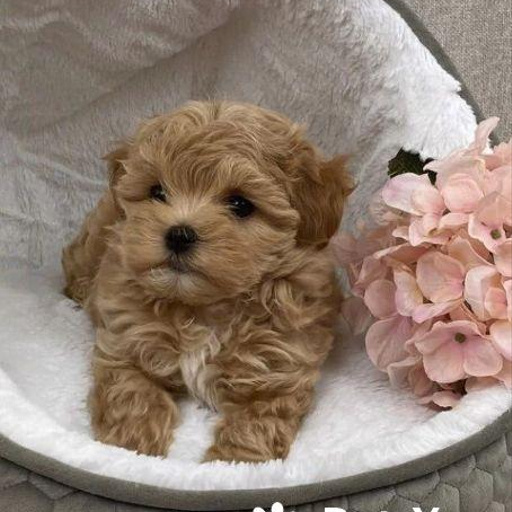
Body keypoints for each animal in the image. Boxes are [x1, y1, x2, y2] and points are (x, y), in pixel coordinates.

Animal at [62, 101, 352, 462]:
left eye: (240, 204)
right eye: (157, 191)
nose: (179, 234)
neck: (203, 309)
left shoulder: (278, 370)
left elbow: (257, 426)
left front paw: (232, 462)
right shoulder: (124, 345)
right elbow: (132, 397)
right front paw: (131, 450)